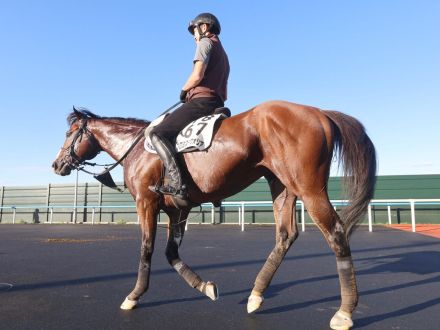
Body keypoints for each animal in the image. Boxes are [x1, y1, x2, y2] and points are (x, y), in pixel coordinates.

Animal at [50, 101, 374, 330]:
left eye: (68, 134)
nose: (56, 164)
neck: (138, 149)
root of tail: (320, 113)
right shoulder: (178, 209)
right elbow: (171, 253)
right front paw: (204, 286)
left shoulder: (146, 203)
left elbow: (147, 248)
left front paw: (134, 295)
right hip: (282, 186)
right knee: (285, 235)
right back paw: (256, 295)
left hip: (309, 188)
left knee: (335, 232)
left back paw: (344, 312)